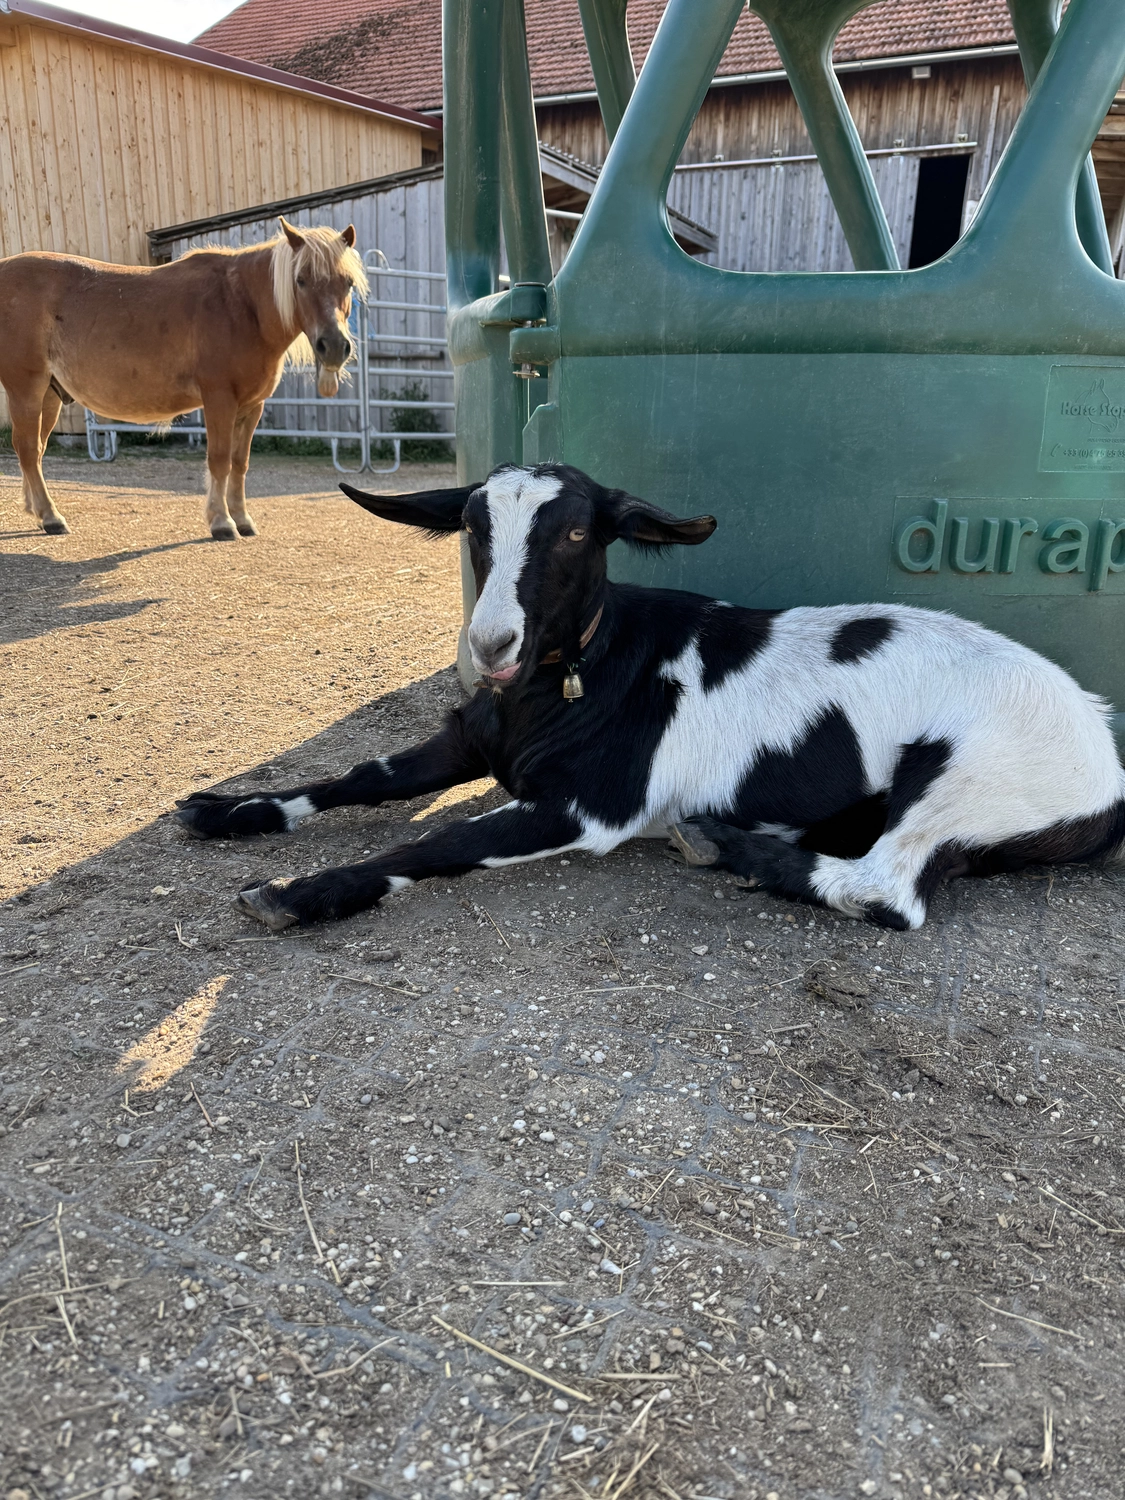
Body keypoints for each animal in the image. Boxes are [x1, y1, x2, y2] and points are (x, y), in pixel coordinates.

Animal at [174, 463, 1125, 932]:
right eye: (474, 526)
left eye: (576, 532)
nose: (490, 646)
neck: (576, 677)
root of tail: (1102, 754)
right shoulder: (469, 740)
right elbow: (359, 777)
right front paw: (226, 810)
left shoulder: (589, 805)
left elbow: (439, 842)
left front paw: (298, 894)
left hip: (963, 775)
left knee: (889, 890)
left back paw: (723, 843)